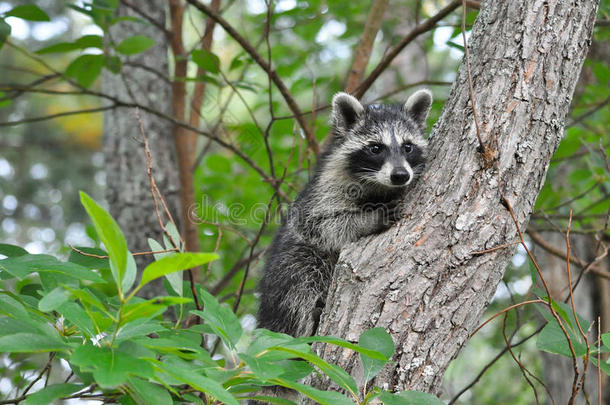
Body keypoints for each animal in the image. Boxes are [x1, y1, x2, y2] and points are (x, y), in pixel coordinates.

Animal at [256, 89, 432, 338]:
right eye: (376, 148)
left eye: (408, 147)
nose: (400, 175)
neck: (380, 186)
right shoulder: (324, 189)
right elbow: (320, 224)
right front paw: (368, 219)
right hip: (287, 272)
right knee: (301, 280)